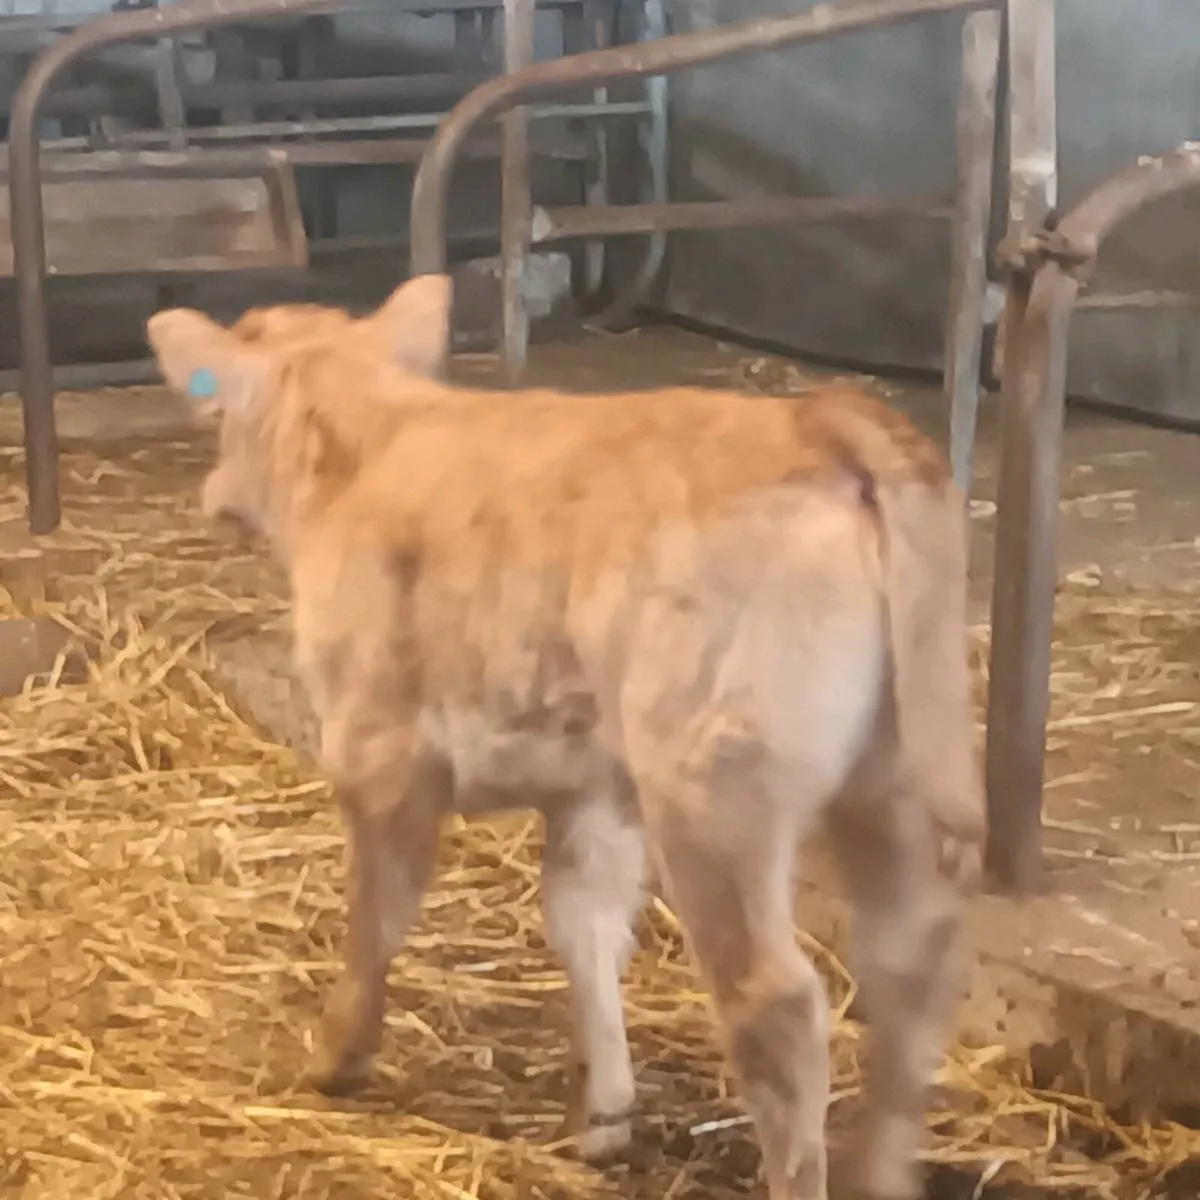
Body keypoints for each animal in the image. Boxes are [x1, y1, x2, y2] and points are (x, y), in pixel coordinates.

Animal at [146, 275, 985, 1200]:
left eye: (217, 412)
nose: (215, 499)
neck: (368, 442)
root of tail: (815, 420)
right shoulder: (592, 786)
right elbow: (585, 922)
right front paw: (605, 1114)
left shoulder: (376, 744)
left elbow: (379, 909)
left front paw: (336, 1056)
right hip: (891, 778)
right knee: (909, 967)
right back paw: (883, 1170)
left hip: (714, 788)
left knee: (781, 1006)